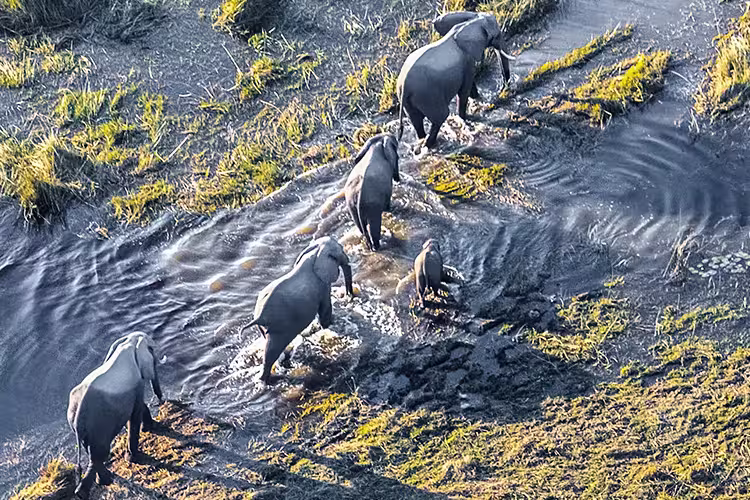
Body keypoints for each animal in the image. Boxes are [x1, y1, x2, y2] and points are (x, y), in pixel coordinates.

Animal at [67, 332, 163, 499]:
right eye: (152, 351)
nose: (161, 401)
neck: (129, 342)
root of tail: (77, 415)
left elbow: (138, 407)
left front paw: (151, 428)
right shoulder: (135, 382)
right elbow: (135, 413)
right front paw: (134, 458)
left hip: (86, 428)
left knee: (94, 454)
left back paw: (100, 483)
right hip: (98, 424)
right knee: (99, 454)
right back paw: (90, 489)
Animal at [242, 237, 355, 383]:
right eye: (341, 249)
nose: (349, 296)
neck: (315, 252)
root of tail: (259, 317)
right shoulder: (321, 284)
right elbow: (325, 309)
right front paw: (330, 324)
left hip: (265, 328)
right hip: (279, 326)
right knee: (272, 351)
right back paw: (272, 378)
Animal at [397, 14, 514, 148]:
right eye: (497, 36)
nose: (503, 90)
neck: (468, 23)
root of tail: (405, 86)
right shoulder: (467, 60)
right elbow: (465, 90)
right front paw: (465, 118)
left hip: (409, 100)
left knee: (416, 121)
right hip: (428, 96)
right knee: (441, 116)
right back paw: (430, 144)